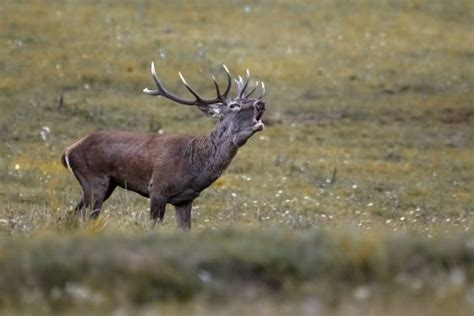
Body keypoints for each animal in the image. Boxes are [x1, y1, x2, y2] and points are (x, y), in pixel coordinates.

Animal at [60, 61, 264, 230]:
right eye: (234, 105)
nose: (261, 103)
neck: (194, 166)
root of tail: (68, 151)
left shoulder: (185, 199)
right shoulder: (157, 189)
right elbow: (153, 226)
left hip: (106, 184)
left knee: (74, 213)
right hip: (94, 179)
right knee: (89, 215)